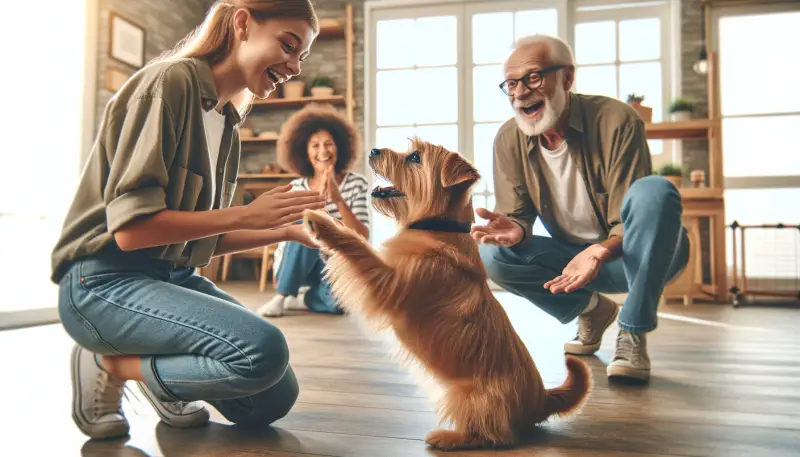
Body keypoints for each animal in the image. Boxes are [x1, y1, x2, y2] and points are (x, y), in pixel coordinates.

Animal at [304, 138, 592, 448]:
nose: (373, 151)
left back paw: (449, 437)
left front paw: (323, 223)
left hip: (470, 398)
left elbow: (358, 246)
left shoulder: (386, 283)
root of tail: (541, 400)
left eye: (414, 157)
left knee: (494, 435)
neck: (436, 227)